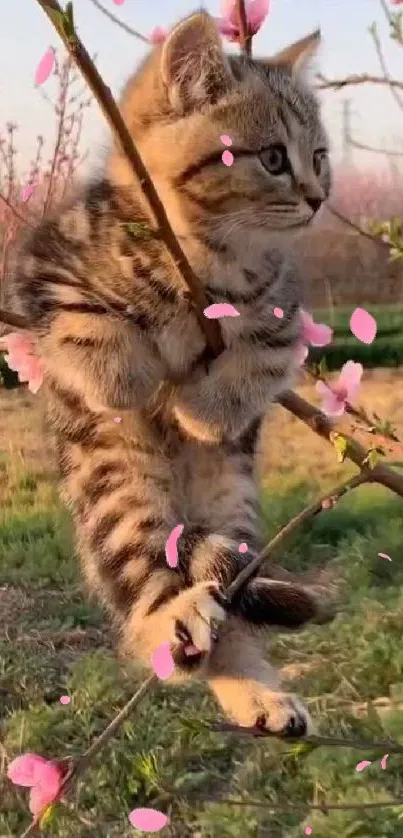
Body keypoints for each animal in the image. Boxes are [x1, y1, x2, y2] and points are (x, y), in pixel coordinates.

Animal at [14, 11, 332, 736]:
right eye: (274, 158)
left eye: (320, 157)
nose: (318, 197)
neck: (209, 257)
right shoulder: (45, 265)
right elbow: (86, 318)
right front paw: (121, 375)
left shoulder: (287, 314)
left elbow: (258, 357)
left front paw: (202, 410)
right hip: (117, 489)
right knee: (149, 596)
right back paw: (175, 625)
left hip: (233, 508)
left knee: (230, 606)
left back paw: (260, 693)